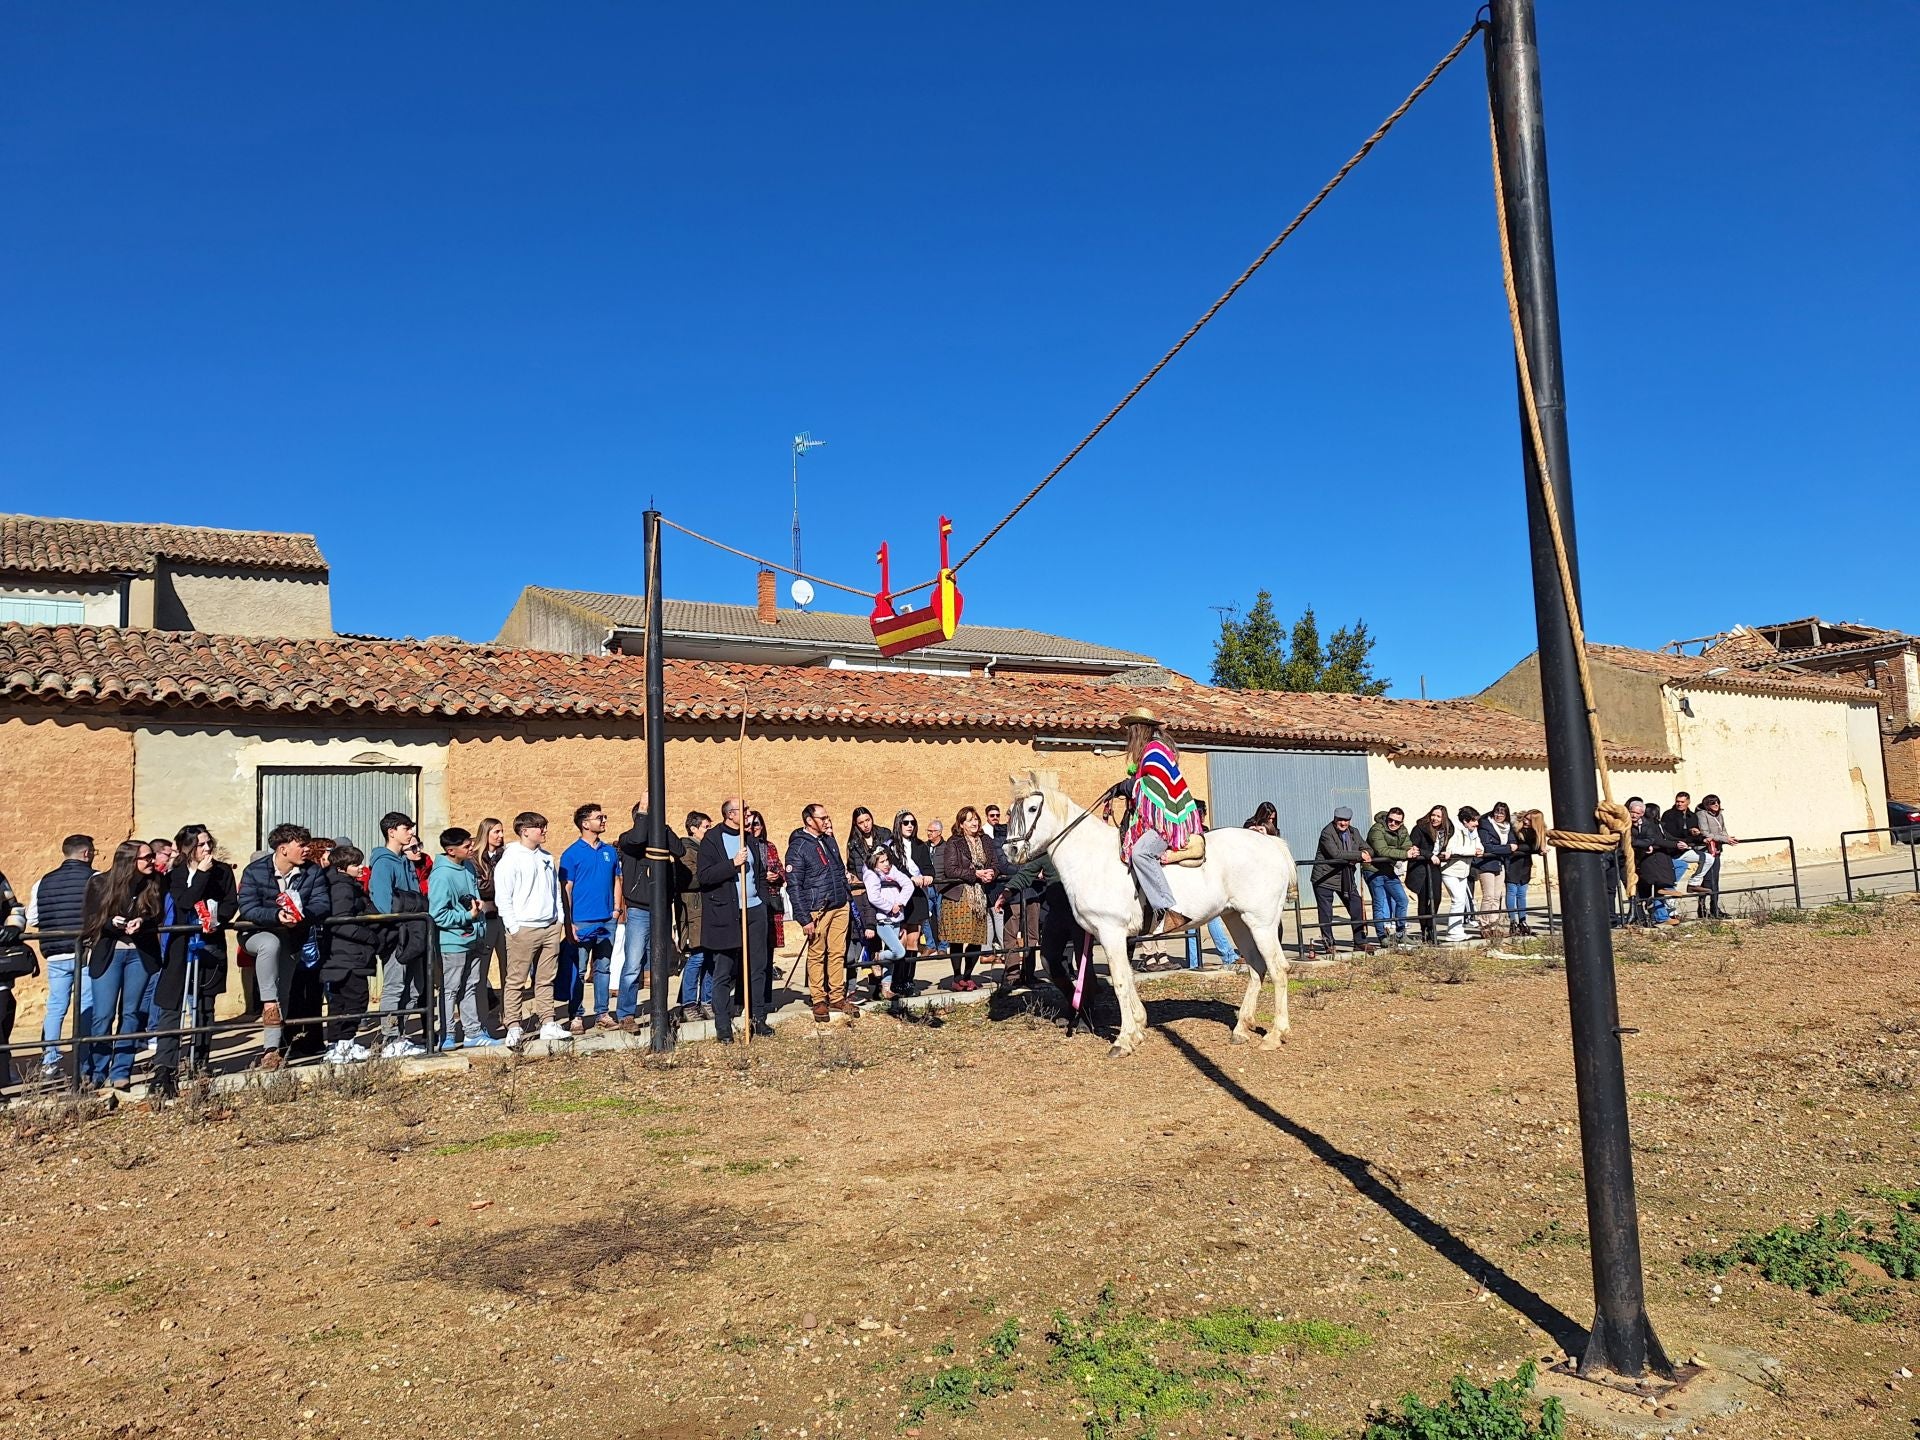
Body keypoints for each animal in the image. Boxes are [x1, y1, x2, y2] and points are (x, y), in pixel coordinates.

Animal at [998, 771, 1297, 1067]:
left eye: (1032, 809)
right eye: (1011, 810)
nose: (1010, 851)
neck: (1092, 860)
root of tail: (1272, 844)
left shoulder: (1111, 932)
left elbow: (1120, 981)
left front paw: (1123, 1040)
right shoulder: (1116, 938)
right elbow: (1128, 978)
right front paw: (1139, 1028)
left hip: (1261, 923)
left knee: (1278, 968)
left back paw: (1275, 1034)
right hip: (1237, 919)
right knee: (1257, 966)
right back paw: (1241, 1029)